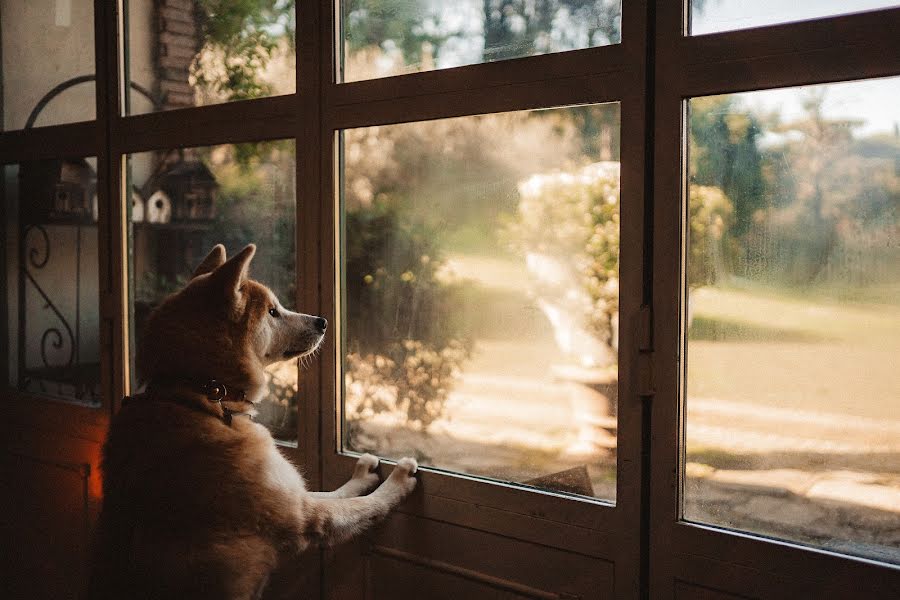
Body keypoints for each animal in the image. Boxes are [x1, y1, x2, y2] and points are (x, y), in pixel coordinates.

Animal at [88, 245, 418, 600]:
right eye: (273, 312)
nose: (323, 321)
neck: (204, 398)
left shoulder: (295, 497)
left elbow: (337, 492)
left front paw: (362, 474)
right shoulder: (306, 516)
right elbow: (368, 506)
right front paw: (398, 480)